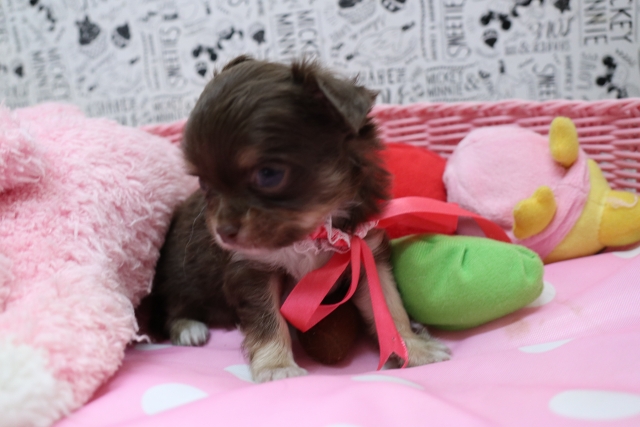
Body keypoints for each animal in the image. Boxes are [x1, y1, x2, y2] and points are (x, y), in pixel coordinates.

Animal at [144, 55, 451, 382]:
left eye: (269, 174)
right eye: (203, 183)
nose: (223, 232)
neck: (315, 232)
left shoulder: (366, 253)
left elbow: (390, 307)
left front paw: (414, 348)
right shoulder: (252, 269)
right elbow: (267, 321)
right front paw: (277, 367)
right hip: (179, 276)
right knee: (171, 308)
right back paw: (188, 328)